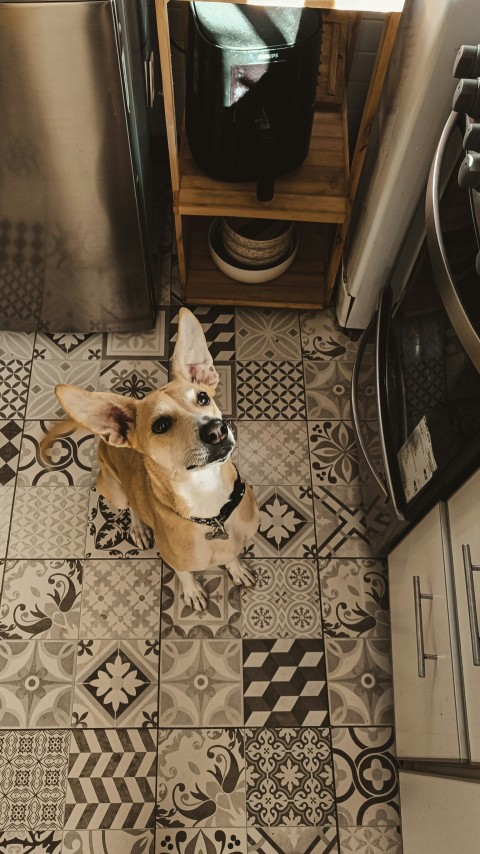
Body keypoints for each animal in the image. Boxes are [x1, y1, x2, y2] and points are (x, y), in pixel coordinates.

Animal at [43, 310, 260, 612]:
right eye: (160, 425)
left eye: (202, 397)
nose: (216, 430)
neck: (210, 504)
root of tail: (105, 440)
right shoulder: (175, 559)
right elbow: (184, 573)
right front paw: (192, 590)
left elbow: (231, 556)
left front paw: (237, 568)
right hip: (114, 489)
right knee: (132, 505)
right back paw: (139, 527)